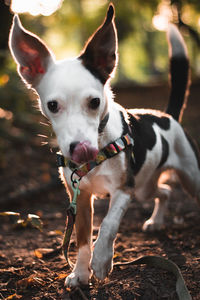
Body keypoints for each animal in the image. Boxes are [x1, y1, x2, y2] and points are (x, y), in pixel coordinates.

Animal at [8, 3, 199, 288]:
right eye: (52, 105)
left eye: (95, 102)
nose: (82, 150)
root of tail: (169, 116)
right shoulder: (80, 196)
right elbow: (82, 240)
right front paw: (80, 272)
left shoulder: (123, 190)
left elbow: (108, 225)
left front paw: (100, 262)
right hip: (145, 185)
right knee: (163, 191)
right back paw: (155, 221)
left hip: (186, 178)